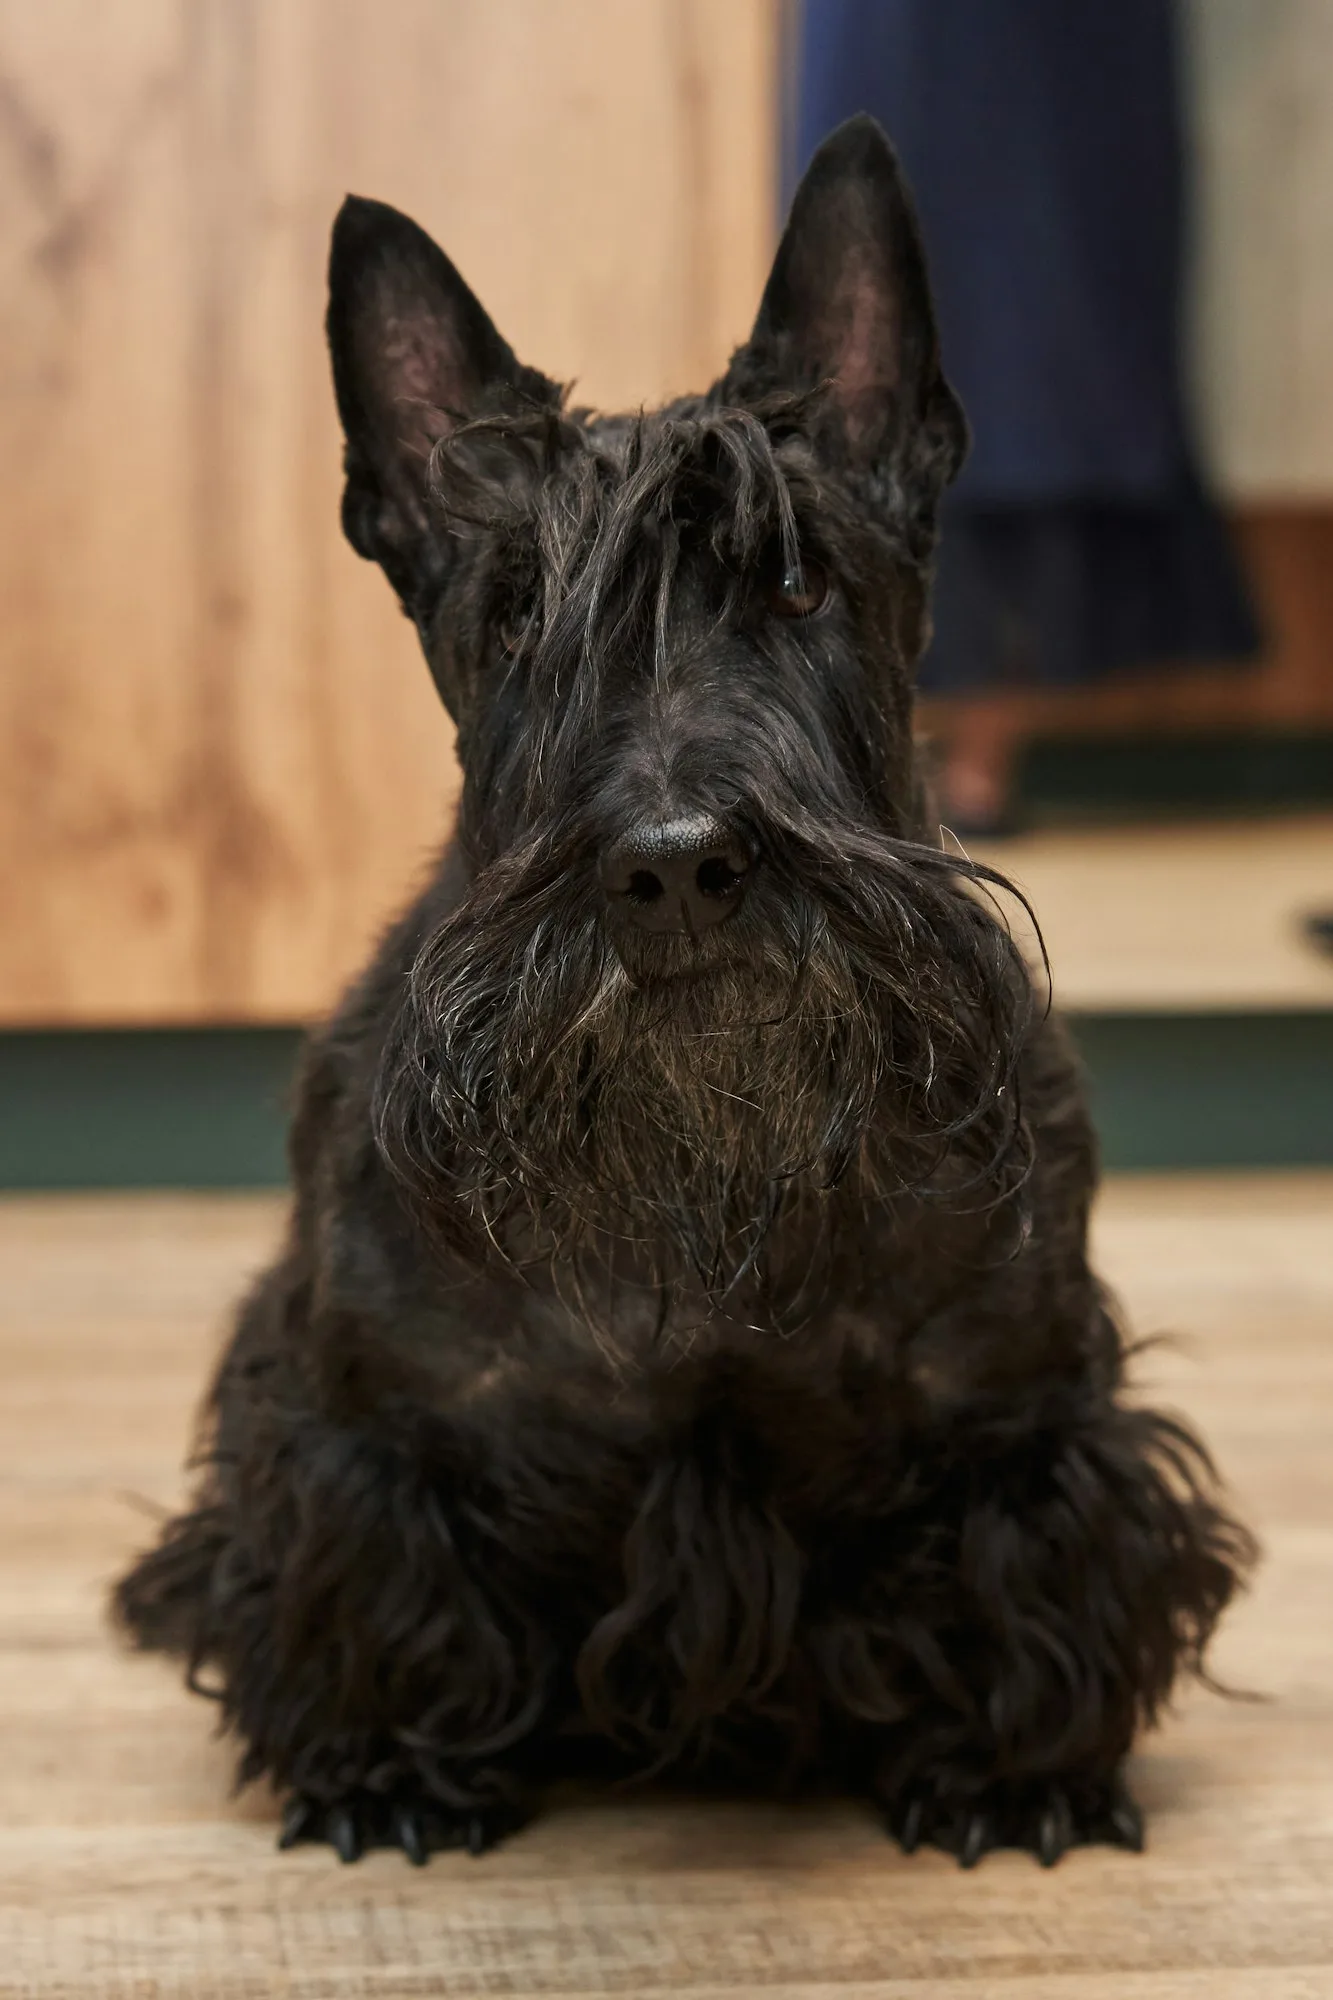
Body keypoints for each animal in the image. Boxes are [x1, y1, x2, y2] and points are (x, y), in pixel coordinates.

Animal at [111, 117, 1248, 1864]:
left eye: (796, 584)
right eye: (519, 615)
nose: (674, 864)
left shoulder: (1023, 1417)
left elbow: (1030, 1572)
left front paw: (1013, 1769)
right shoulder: (365, 1425)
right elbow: (377, 1569)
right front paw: (386, 1766)